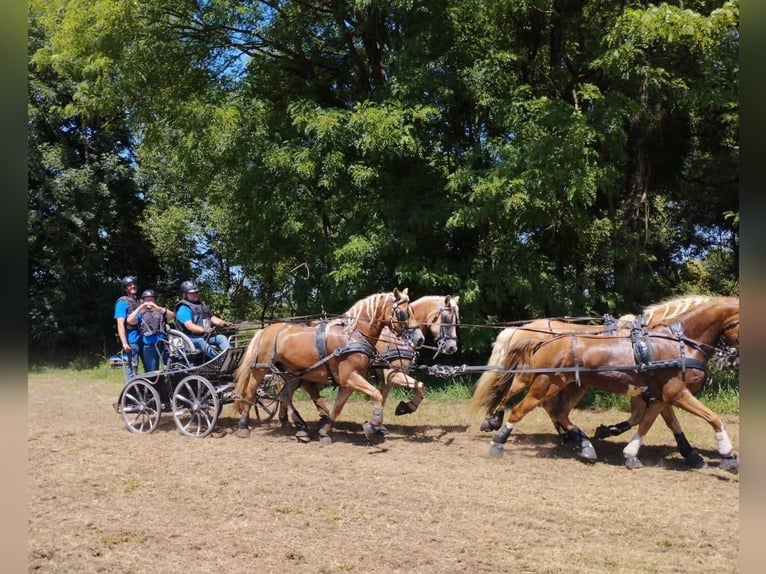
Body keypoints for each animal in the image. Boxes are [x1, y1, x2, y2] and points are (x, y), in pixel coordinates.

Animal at [233, 288, 425, 444]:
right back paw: (243, 426)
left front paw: (325, 432)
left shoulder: (350, 381)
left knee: (285, 396)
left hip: (291, 373)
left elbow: (338, 407)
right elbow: (377, 394)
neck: (354, 335)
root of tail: (264, 330)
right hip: (260, 369)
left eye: (413, 310)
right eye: (403, 313)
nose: (419, 339)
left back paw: (301, 428)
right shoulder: (352, 377)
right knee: (250, 393)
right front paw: (374, 425)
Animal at [468, 296, 739, 470]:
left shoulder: (658, 394)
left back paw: (581, 443)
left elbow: (651, 421)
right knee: (518, 405)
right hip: (541, 381)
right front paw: (726, 454)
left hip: (572, 385)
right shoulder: (675, 392)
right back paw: (498, 435)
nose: (730, 359)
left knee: (556, 410)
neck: (679, 342)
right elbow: (712, 418)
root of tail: (531, 332)